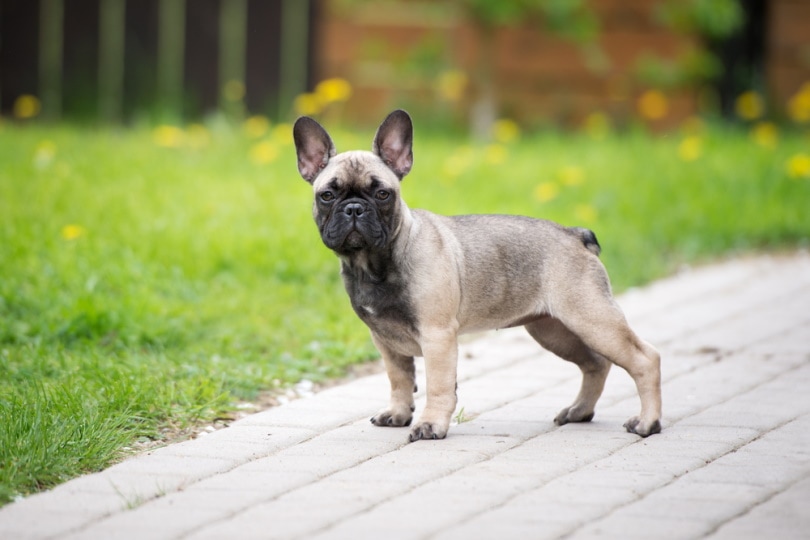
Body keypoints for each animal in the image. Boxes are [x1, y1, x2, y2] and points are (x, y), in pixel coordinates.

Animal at [294, 109, 660, 442]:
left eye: (383, 194)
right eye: (327, 195)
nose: (354, 208)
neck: (374, 262)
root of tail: (574, 235)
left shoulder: (437, 337)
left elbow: (438, 386)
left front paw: (430, 425)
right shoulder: (385, 340)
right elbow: (399, 380)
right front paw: (398, 414)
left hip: (591, 318)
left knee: (644, 359)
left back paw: (647, 422)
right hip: (554, 329)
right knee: (595, 364)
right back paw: (580, 411)